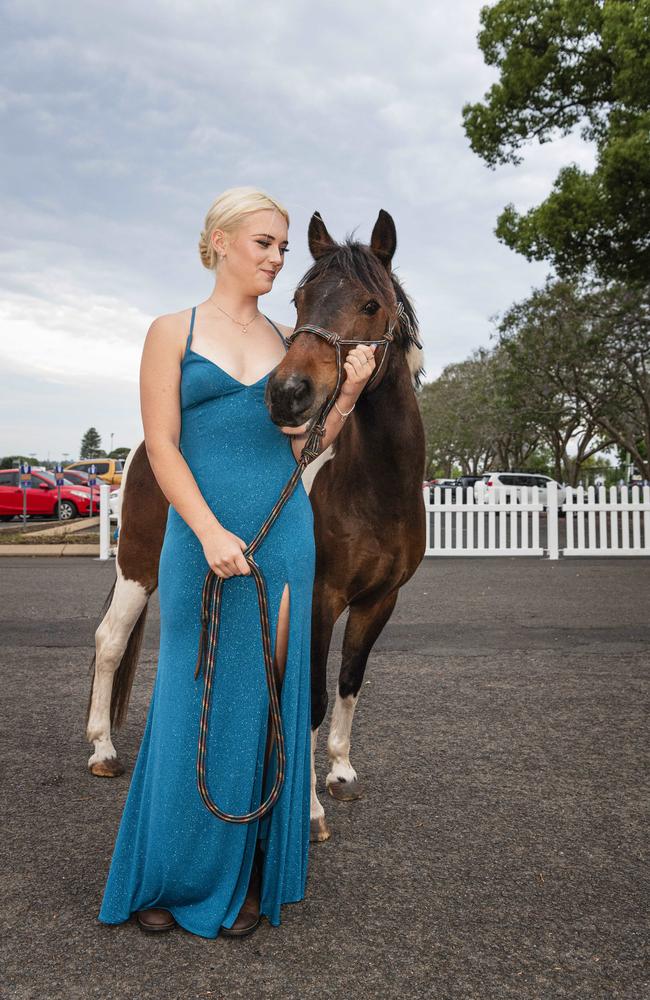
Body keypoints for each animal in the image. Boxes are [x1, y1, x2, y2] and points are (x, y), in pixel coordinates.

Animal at [86, 211, 428, 844]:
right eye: (297, 300)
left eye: (371, 304)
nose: (289, 393)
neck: (372, 488)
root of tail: (141, 450)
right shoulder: (318, 597)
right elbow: (311, 696)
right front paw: (309, 813)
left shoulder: (380, 601)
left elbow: (349, 681)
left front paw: (340, 773)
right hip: (137, 567)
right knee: (110, 642)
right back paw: (102, 750)